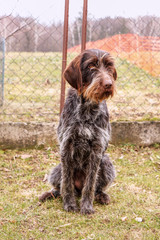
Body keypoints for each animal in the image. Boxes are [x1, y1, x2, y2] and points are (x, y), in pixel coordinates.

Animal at [39, 49, 117, 215]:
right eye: (91, 66)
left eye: (109, 66)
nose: (108, 84)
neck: (87, 109)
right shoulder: (66, 145)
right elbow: (67, 183)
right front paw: (69, 205)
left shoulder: (97, 148)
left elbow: (90, 184)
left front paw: (86, 206)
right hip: (57, 170)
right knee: (61, 187)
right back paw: (50, 194)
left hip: (107, 163)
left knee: (96, 188)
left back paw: (102, 196)